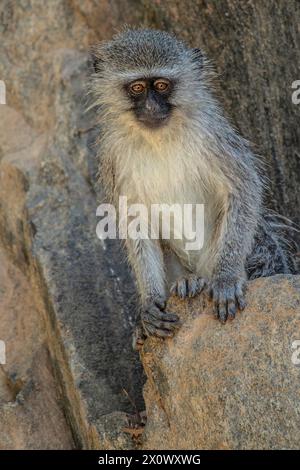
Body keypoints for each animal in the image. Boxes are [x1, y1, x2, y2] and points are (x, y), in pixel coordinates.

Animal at [90, 29, 296, 346]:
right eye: (137, 88)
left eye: (162, 85)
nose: (151, 107)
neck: (158, 139)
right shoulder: (112, 154)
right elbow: (134, 218)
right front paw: (149, 302)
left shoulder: (210, 133)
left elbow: (243, 188)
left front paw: (226, 278)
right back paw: (185, 283)